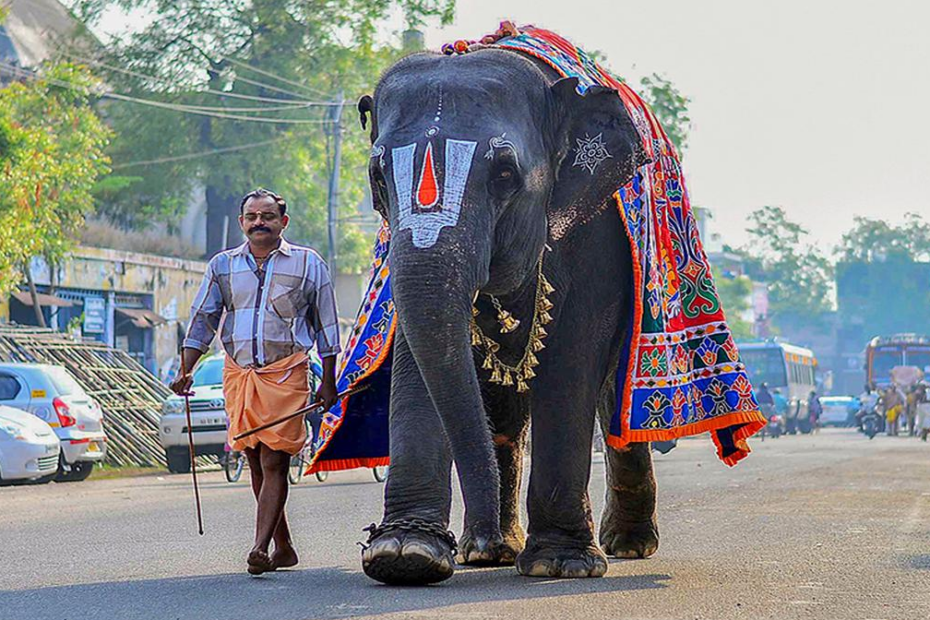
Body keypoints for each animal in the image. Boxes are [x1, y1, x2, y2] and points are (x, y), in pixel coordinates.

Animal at [356, 43, 660, 588]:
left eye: (504, 174)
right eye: (377, 176)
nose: (463, 540)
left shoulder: (596, 227)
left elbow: (573, 352)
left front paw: (559, 564)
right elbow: (415, 344)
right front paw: (405, 553)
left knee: (614, 401)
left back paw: (626, 545)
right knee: (500, 410)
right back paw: (490, 552)